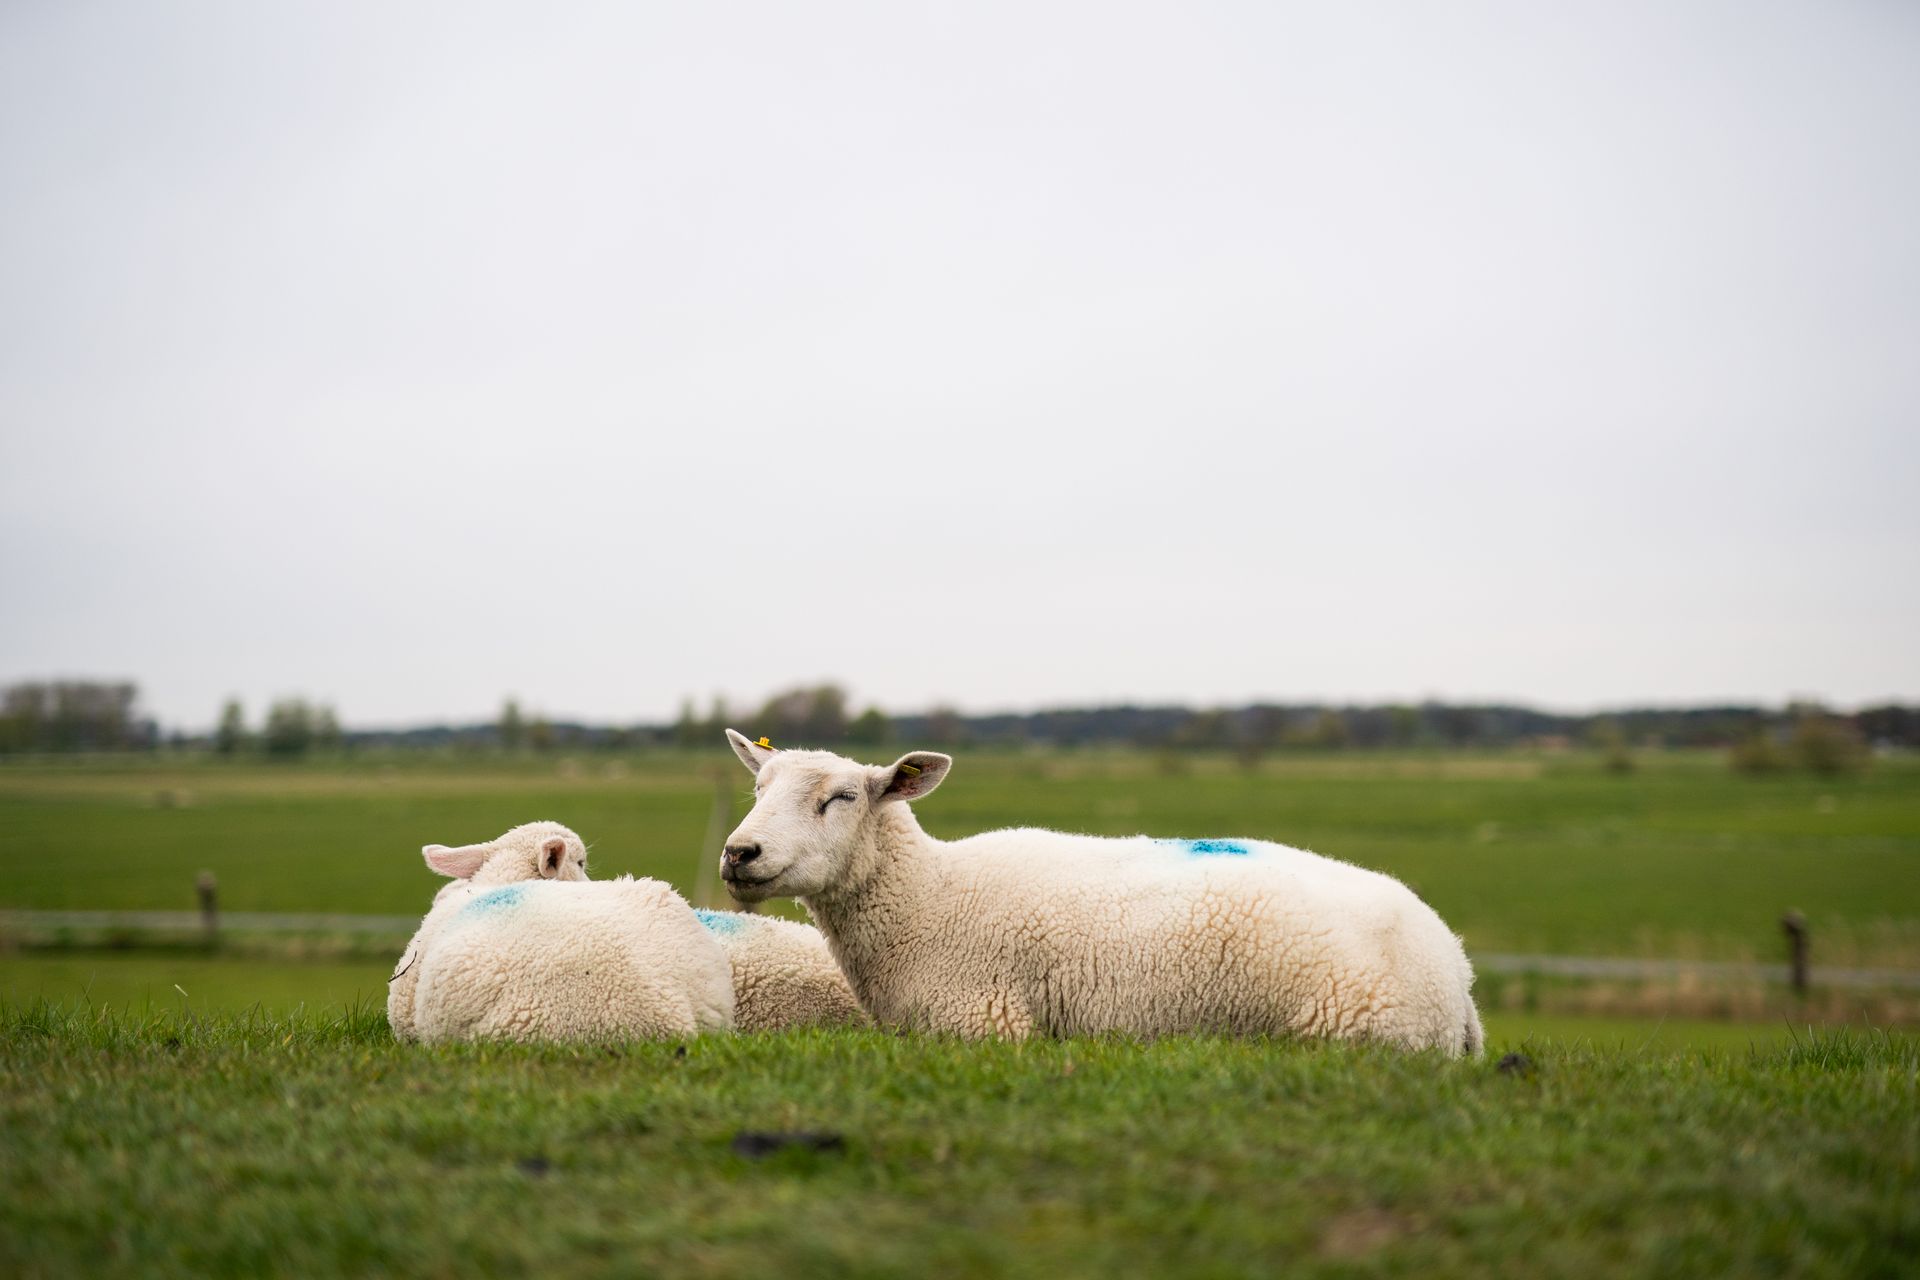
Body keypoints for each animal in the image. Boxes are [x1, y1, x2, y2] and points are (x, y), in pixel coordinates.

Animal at [719, 730, 1484, 1056]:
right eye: (757, 788)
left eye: (843, 797)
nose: (739, 853)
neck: (928, 896)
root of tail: (1457, 969)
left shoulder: (985, 1024)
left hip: (1356, 1034)